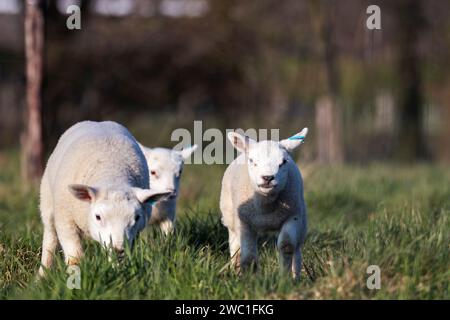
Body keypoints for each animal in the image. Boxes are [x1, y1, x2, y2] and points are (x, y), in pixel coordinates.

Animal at [38, 121, 171, 276]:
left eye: (137, 217)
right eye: (98, 217)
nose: (118, 248)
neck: (112, 173)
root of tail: (95, 122)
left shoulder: (133, 235)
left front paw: (118, 273)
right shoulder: (65, 221)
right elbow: (74, 257)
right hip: (47, 202)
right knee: (50, 239)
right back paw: (42, 274)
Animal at [219, 127, 308, 278]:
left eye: (284, 161)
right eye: (252, 160)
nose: (267, 178)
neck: (266, 208)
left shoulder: (293, 216)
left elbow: (287, 245)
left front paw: (285, 278)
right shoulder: (244, 222)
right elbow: (248, 255)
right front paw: (252, 279)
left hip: (301, 221)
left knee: (297, 249)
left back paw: (296, 276)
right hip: (231, 219)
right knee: (236, 248)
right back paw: (236, 271)